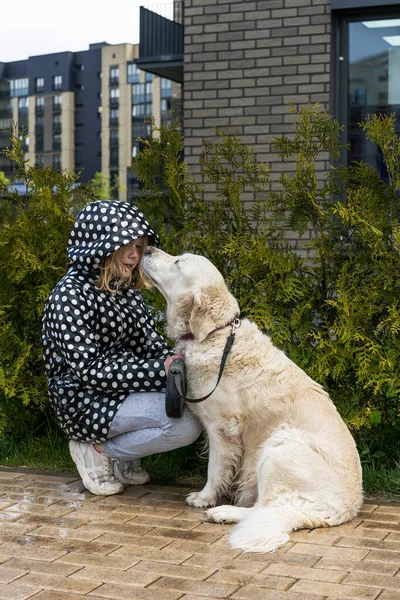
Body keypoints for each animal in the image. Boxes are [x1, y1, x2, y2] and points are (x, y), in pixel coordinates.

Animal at [141, 246, 362, 552]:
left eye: (178, 262)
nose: (148, 248)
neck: (217, 334)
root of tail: (342, 511)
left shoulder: (222, 427)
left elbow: (215, 468)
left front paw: (204, 497)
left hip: (279, 444)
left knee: (265, 507)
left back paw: (223, 512)